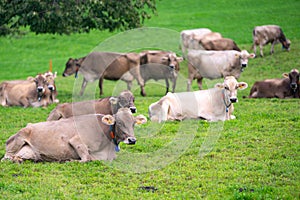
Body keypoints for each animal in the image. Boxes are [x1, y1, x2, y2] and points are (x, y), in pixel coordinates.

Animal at [2, 108, 148, 162]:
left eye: (133, 123)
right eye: (119, 123)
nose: (132, 139)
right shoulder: (76, 140)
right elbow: (87, 158)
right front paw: (71, 160)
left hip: (31, 153)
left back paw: (20, 159)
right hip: (19, 138)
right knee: (6, 157)